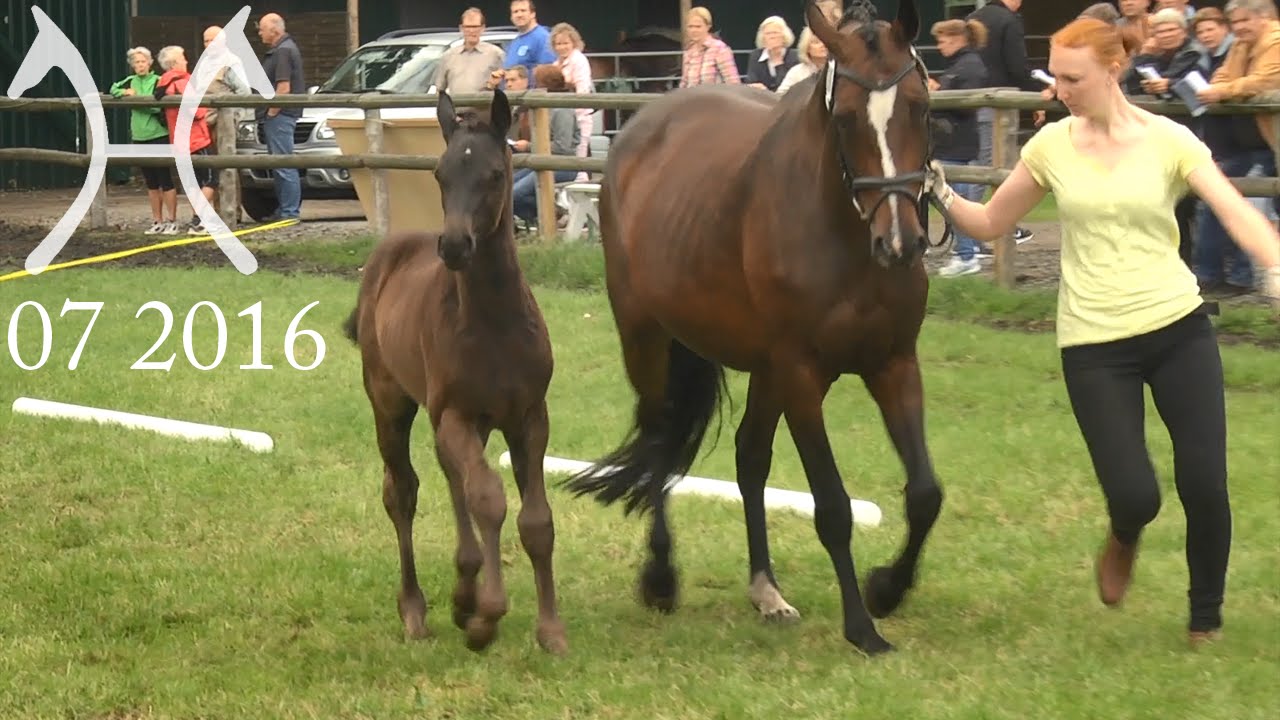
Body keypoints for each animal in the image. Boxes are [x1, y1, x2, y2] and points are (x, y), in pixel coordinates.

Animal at [341, 89, 566, 655]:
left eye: (495, 174)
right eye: (440, 173)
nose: (456, 246)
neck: (495, 324)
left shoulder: (529, 419)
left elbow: (537, 521)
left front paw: (550, 629)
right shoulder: (458, 416)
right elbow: (488, 498)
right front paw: (486, 618)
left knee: (450, 479)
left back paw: (463, 589)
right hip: (391, 403)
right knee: (403, 491)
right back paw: (418, 608)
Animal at [561, 0, 948, 656]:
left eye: (920, 106)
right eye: (846, 117)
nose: (900, 244)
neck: (840, 232)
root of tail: (648, 119)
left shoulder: (892, 362)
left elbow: (924, 493)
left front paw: (886, 590)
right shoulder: (802, 374)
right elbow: (833, 507)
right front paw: (862, 628)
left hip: (764, 370)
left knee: (748, 458)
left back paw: (765, 589)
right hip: (647, 339)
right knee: (661, 440)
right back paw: (661, 577)